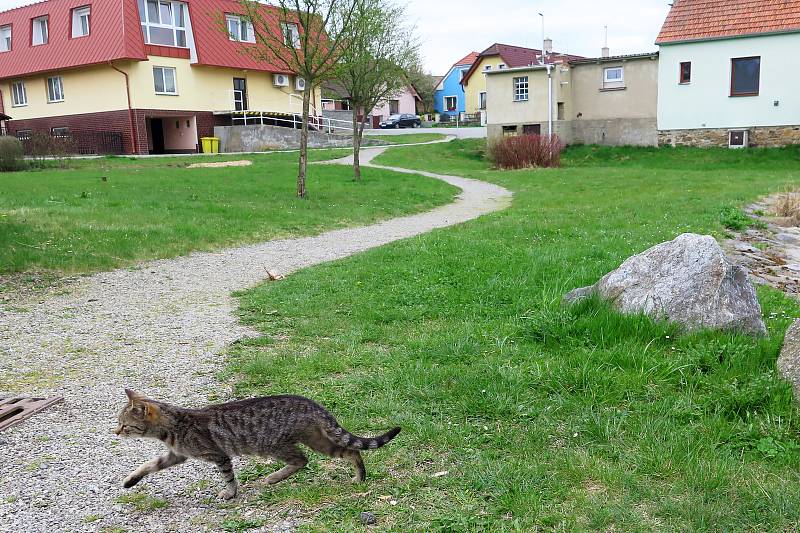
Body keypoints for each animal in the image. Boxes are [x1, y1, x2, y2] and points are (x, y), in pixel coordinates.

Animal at [114, 386, 400, 498]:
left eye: (124, 425)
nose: (115, 432)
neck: (173, 426)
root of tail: (311, 403)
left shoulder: (218, 455)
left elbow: (228, 476)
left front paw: (230, 493)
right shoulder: (175, 455)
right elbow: (149, 465)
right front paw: (130, 480)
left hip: (274, 444)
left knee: (302, 459)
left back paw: (273, 478)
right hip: (318, 439)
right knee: (349, 452)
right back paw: (360, 477)